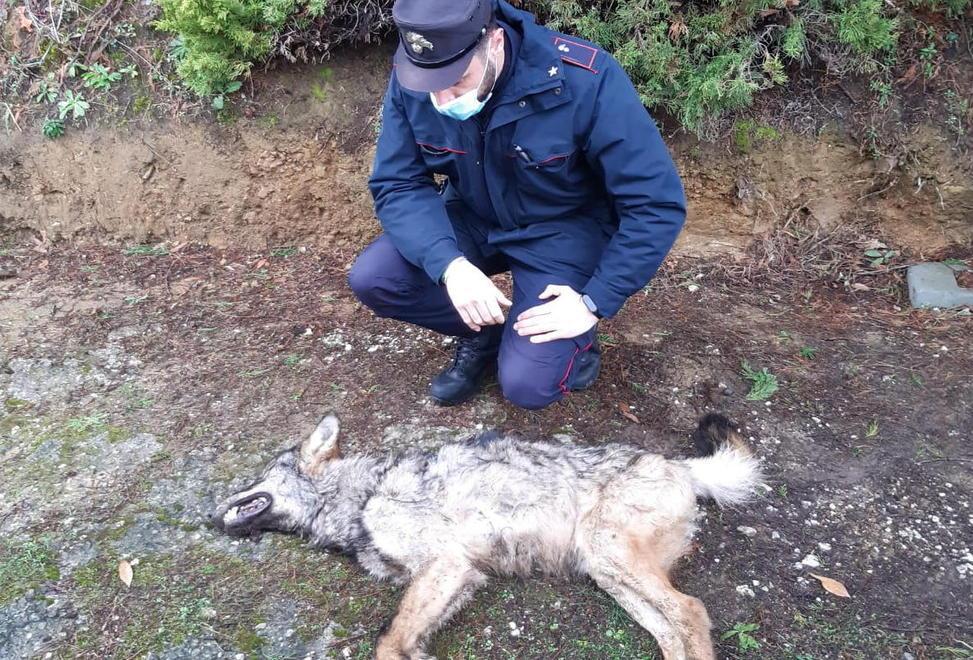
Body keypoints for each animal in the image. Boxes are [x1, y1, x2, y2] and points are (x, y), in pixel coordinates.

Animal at [212, 413, 763, 660]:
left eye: (257, 475)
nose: (211, 510)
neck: (363, 496)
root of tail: (682, 466)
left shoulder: (445, 565)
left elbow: (388, 642)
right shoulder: (460, 576)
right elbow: (406, 637)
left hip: (610, 556)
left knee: (691, 612)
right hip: (607, 573)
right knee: (672, 630)